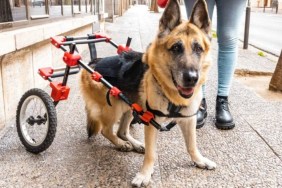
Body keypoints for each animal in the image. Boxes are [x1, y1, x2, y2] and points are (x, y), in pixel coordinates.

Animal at [80, 0, 217, 186]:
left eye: (198, 48)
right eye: (176, 48)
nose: (191, 78)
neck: (170, 92)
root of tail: (93, 63)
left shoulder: (189, 120)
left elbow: (192, 145)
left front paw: (199, 160)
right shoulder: (152, 124)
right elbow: (151, 153)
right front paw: (145, 174)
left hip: (131, 107)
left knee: (122, 131)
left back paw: (134, 144)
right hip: (114, 108)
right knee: (106, 131)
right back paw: (121, 144)